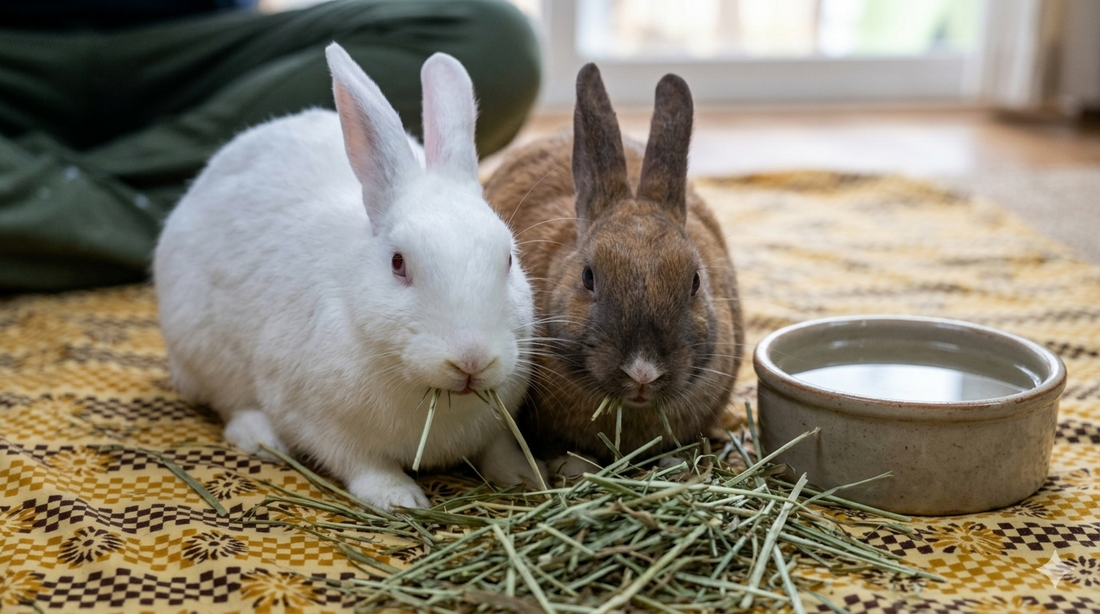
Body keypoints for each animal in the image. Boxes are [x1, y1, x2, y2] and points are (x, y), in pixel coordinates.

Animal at [154, 43, 542, 511]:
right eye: (398, 263)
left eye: (508, 259)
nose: (472, 360)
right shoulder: (322, 424)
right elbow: (362, 464)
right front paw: (400, 499)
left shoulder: (497, 426)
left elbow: (501, 450)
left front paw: (527, 476)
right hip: (204, 352)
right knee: (231, 404)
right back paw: (262, 438)